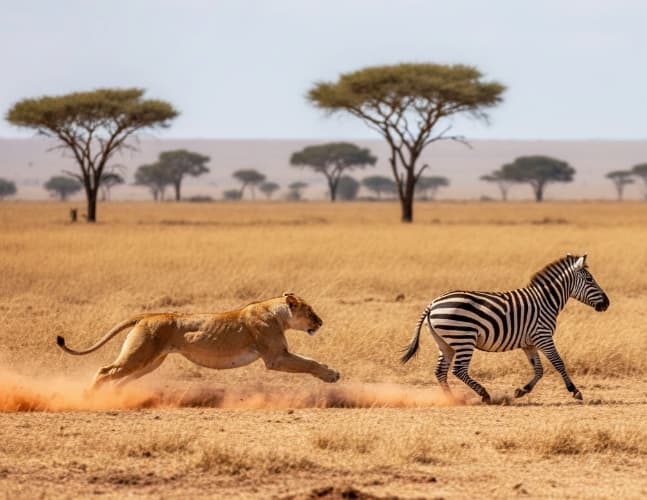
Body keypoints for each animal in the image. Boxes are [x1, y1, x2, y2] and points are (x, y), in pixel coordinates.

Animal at [56, 293, 340, 390]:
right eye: (310, 312)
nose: (321, 322)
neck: (277, 312)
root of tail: (149, 315)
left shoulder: (277, 355)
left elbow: (308, 361)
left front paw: (331, 372)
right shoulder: (275, 357)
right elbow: (309, 363)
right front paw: (332, 375)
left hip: (151, 362)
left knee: (119, 378)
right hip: (139, 356)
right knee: (105, 371)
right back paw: (90, 397)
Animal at [401, 254, 609, 403]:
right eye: (589, 279)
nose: (607, 303)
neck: (546, 301)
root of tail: (432, 303)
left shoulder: (529, 343)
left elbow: (539, 369)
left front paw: (522, 391)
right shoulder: (543, 336)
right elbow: (558, 362)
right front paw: (575, 391)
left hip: (445, 343)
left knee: (440, 371)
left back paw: (451, 399)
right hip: (464, 338)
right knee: (458, 370)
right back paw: (484, 394)